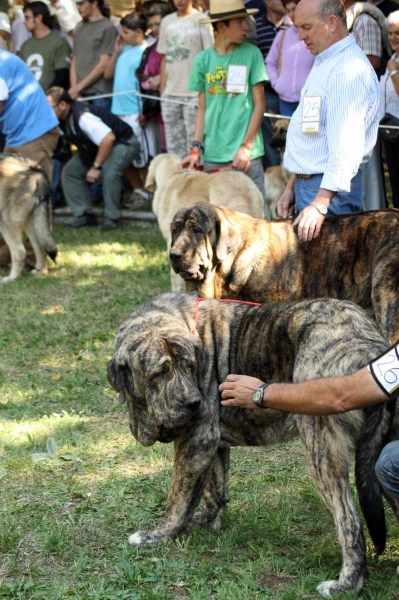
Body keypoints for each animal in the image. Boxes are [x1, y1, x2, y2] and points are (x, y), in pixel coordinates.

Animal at [107, 292, 399, 596]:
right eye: (159, 373)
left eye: (189, 366)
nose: (194, 403)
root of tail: (368, 345)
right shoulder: (213, 445)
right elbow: (213, 489)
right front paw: (208, 523)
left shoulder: (196, 441)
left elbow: (178, 498)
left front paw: (159, 535)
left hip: (320, 446)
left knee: (349, 520)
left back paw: (347, 584)